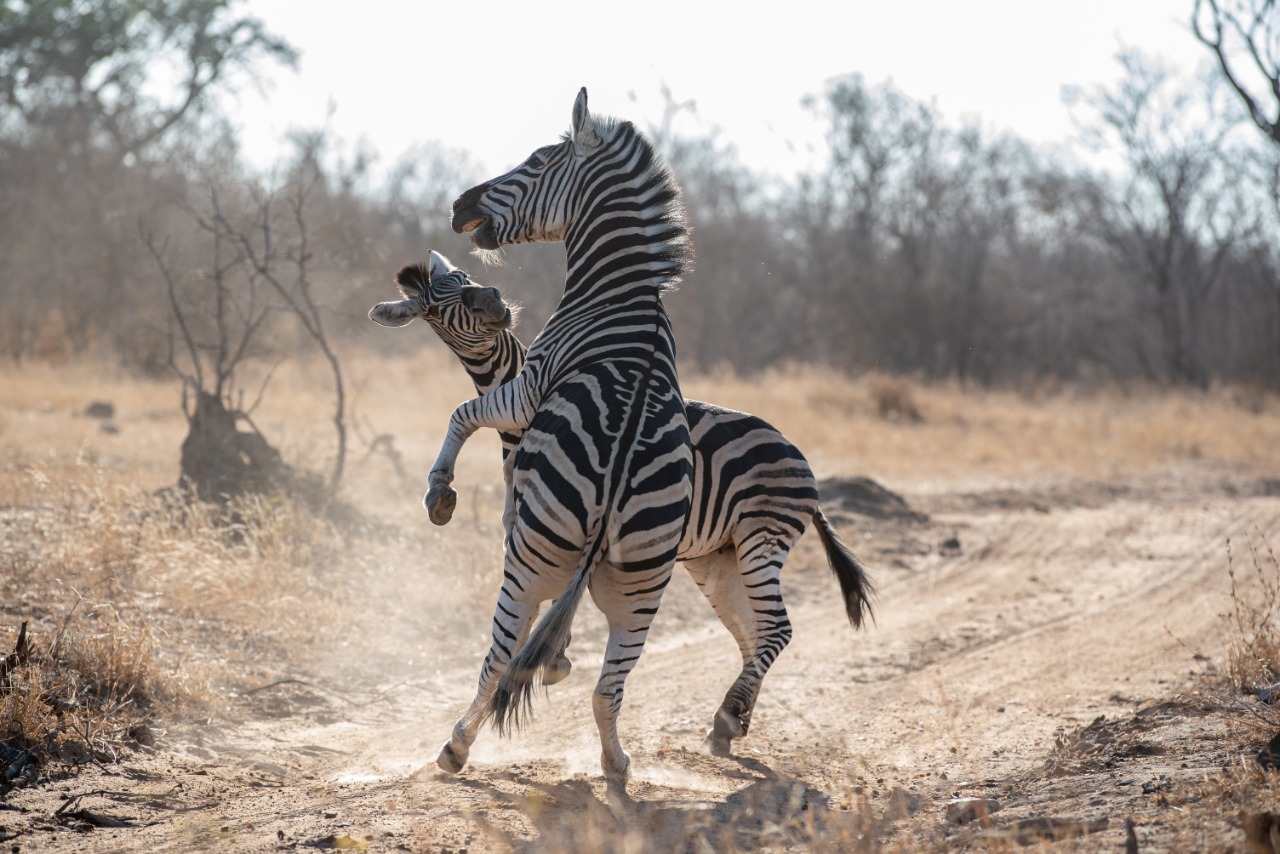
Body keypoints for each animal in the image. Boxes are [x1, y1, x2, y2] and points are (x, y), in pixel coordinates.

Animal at [370, 250, 875, 757]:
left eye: (464, 277)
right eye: (437, 307)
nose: (493, 301)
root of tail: (802, 461)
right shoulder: (535, 532)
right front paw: (553, 660)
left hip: (760, 540)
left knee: (776, 628)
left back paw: (729, 717)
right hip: (718, 557)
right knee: (752, 634)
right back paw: (731, 722)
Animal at [420, 88, 693, 791]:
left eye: (538, 160)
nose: (458, 205)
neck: (622, 295)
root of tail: (619, 477)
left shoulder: (527, 391)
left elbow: (463, 413)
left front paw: (440, 491)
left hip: (529, 567)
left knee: (499, 656)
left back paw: (455, 747)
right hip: (643, 587)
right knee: (608, 689)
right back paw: (615, 763)